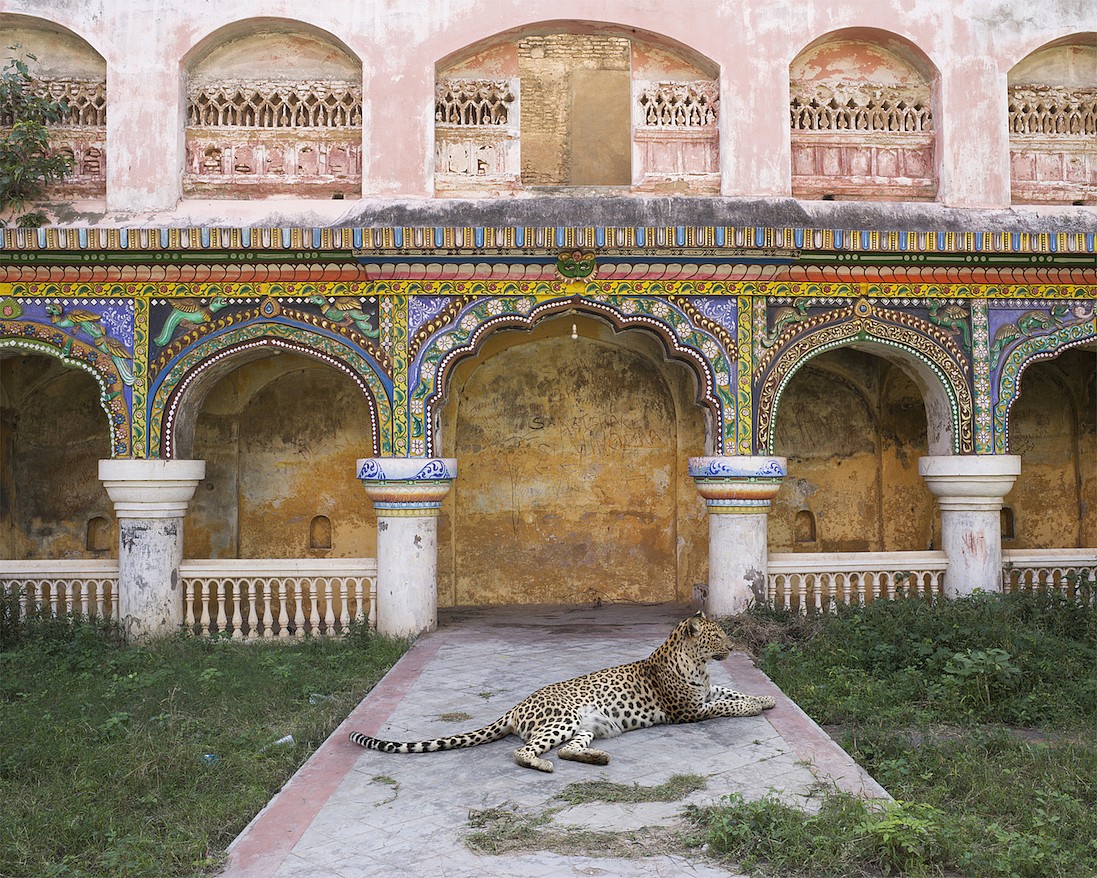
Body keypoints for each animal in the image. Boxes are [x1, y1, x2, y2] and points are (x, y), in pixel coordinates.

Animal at [346, 614, 776, 772]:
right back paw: (542, 766)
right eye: (716, 636)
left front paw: (766, 698)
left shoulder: (706, 693)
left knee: (570, 749)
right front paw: (758, 703)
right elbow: (731, 707)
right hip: (562, 719)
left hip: (584, 727)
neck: (699, 665)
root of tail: (516, 706)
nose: (733, 646)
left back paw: (598, 758)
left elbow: (731, 692)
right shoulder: (690, 710)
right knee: (522, 752)